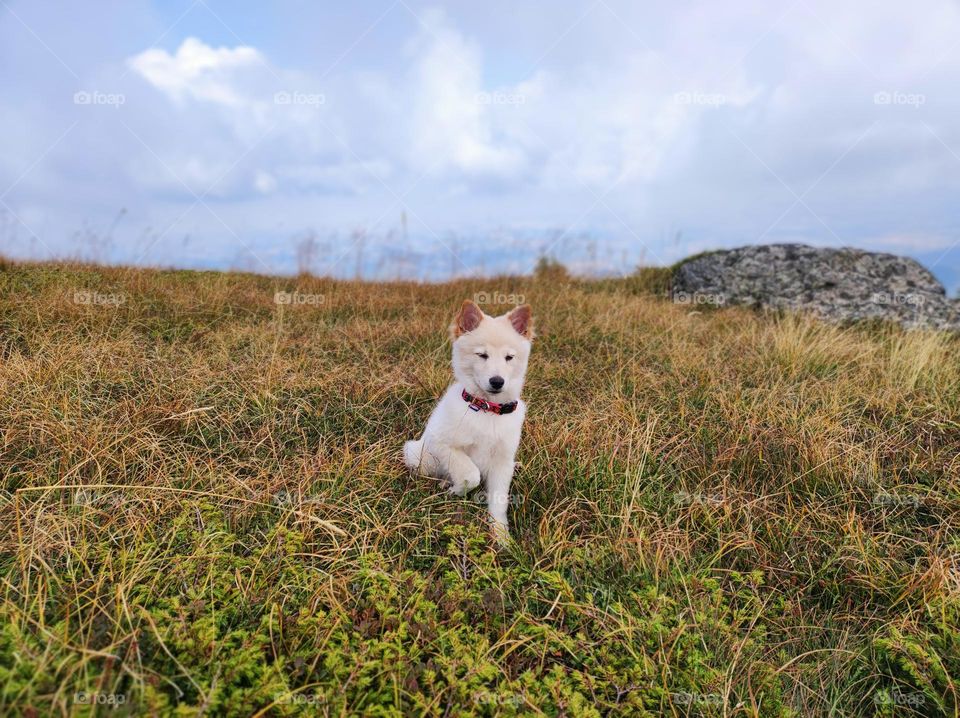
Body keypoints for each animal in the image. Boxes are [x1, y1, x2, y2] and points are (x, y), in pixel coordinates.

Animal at [404, 299, 534, 543]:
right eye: (482, 355)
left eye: (509, 357)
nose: (497, 381)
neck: (488, 410)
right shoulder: (441, 443)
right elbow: (470, 473)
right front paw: (455, 490)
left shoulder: (502, 463)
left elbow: (499, 503)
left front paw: (501, 536)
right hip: (417, 455)